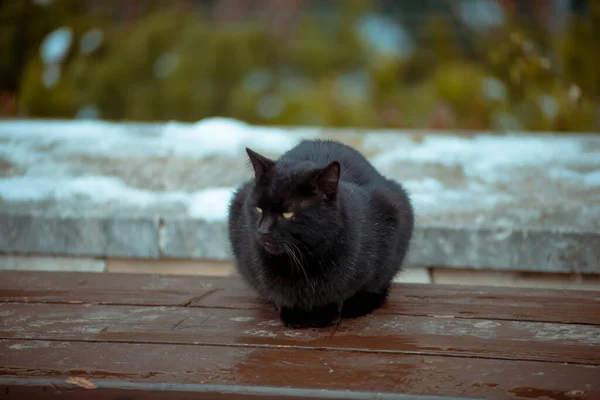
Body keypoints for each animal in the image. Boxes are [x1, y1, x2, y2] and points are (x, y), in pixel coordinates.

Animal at [226, 139, 412, 326]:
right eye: (258, 209)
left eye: (287, 213)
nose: (262, 230)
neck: (303, 259)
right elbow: (279, 294)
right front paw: (293, 314)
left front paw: (327, 314)